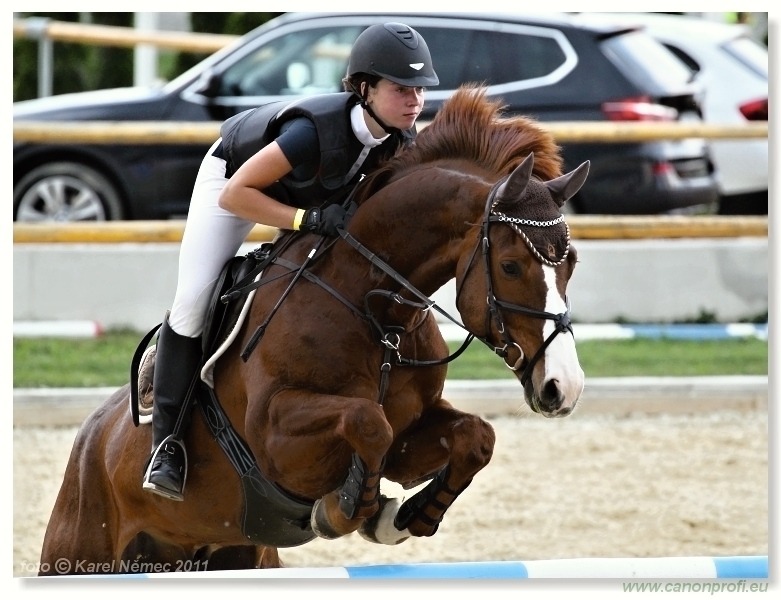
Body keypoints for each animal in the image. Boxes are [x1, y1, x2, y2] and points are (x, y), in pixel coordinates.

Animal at [36, 85, 584, 576]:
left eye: (572, 263)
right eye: (511, 266)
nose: (564, 388)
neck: (375, 311)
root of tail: (90, 436)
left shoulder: (411, 434)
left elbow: (475, 435)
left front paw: (404, 516)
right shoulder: (275, 438)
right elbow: (368, 421)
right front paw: (350, 508)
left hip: (234, 554)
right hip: (79, 548)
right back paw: (164, 467)